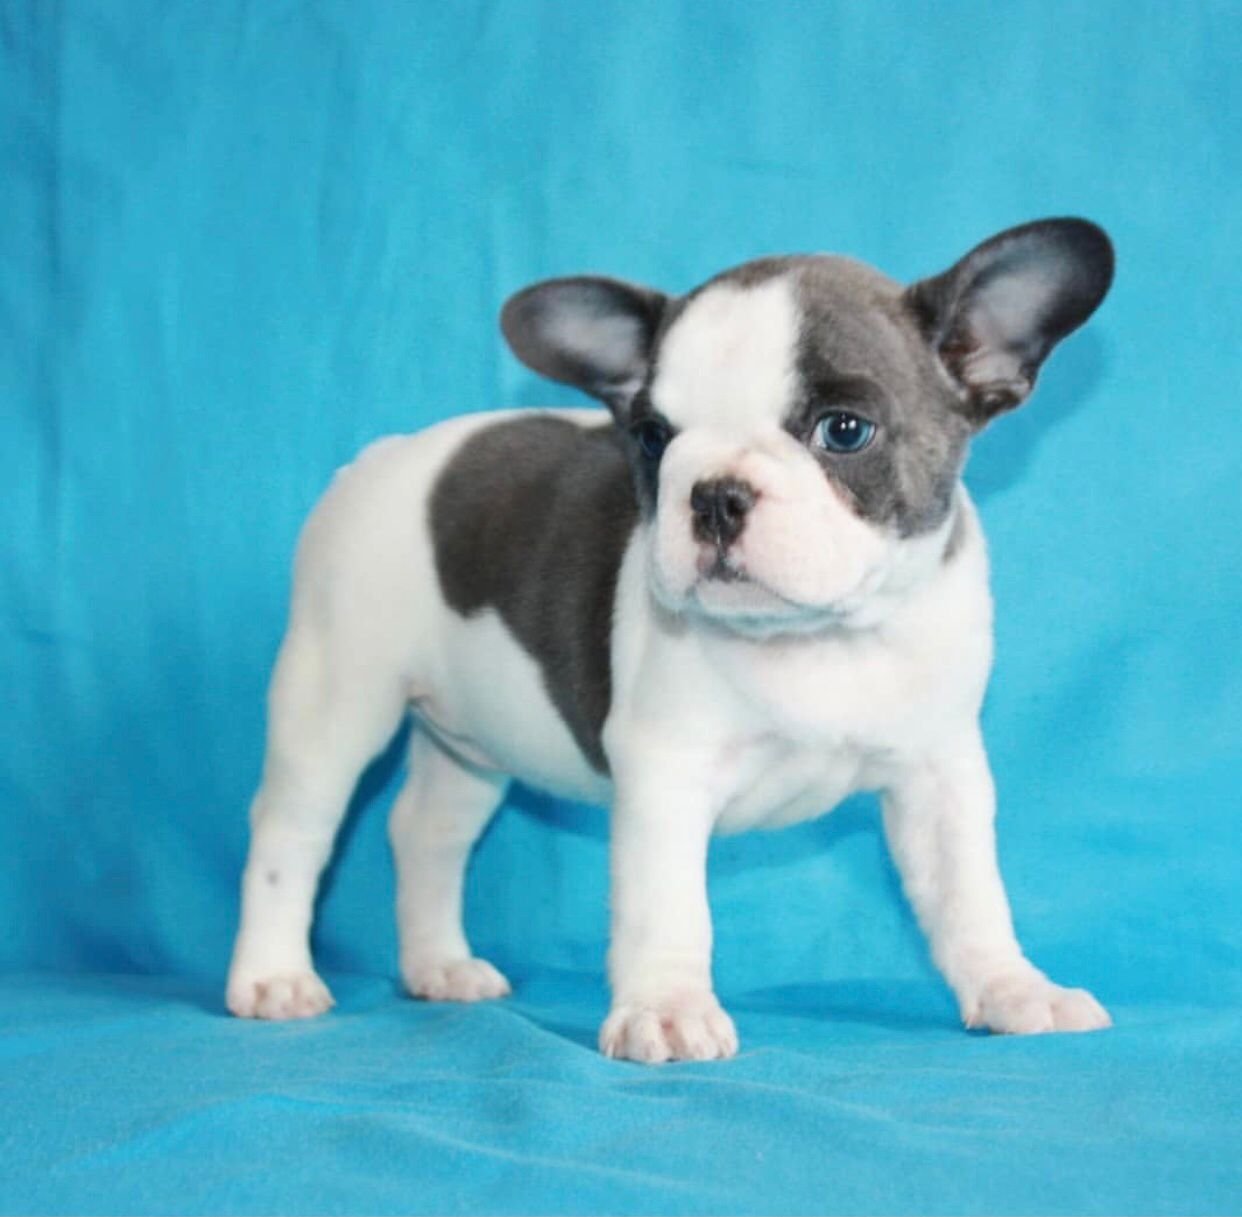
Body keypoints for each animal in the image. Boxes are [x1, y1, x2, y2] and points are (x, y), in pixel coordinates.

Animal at [226, 217, 1115, 1062]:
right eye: (653, 436)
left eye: (845, 430)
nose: (715, 493)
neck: (816, 635)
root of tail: (380, 458)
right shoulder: (665, 769)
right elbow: (668, 907)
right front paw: (668, 1009)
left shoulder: (939, 772)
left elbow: (970, 894)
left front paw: (1012, 988)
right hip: (337, 695)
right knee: (292, 830)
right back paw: (274, 976)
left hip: (471, 737)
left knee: (425, 829)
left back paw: (439, 966)